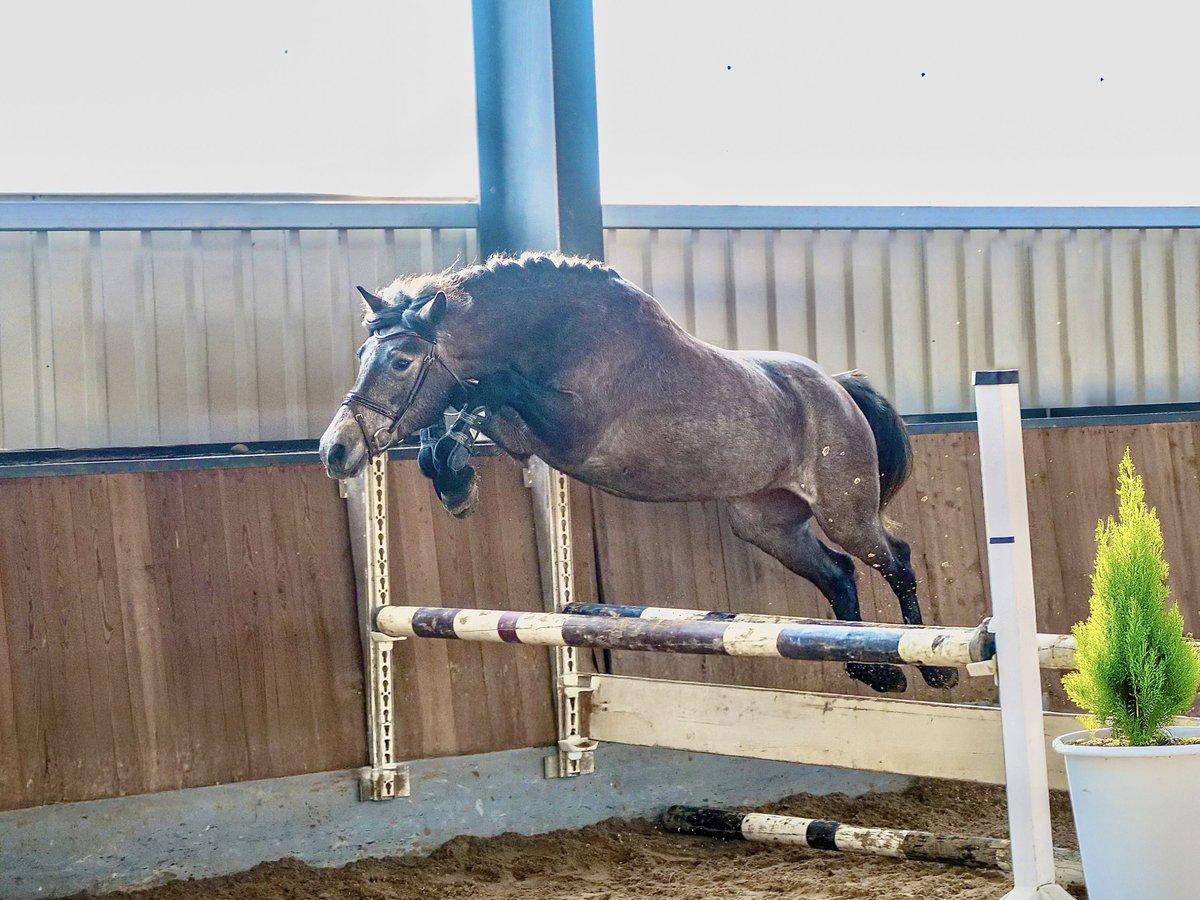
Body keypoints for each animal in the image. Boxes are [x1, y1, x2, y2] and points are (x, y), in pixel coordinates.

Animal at [319, 254, 955, 696]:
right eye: (362, 357)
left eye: (402, 360)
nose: (334, 450)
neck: (558, 333)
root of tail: (839, 390)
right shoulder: (527, 435)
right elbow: (462, 405)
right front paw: (453, 480)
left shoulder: (571, 432)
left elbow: (487, 387)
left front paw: (455, 475)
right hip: (767, 523)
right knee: (838, 573)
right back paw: (873, 671)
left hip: (844, 509)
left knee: (894, 558)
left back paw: (930, 669)